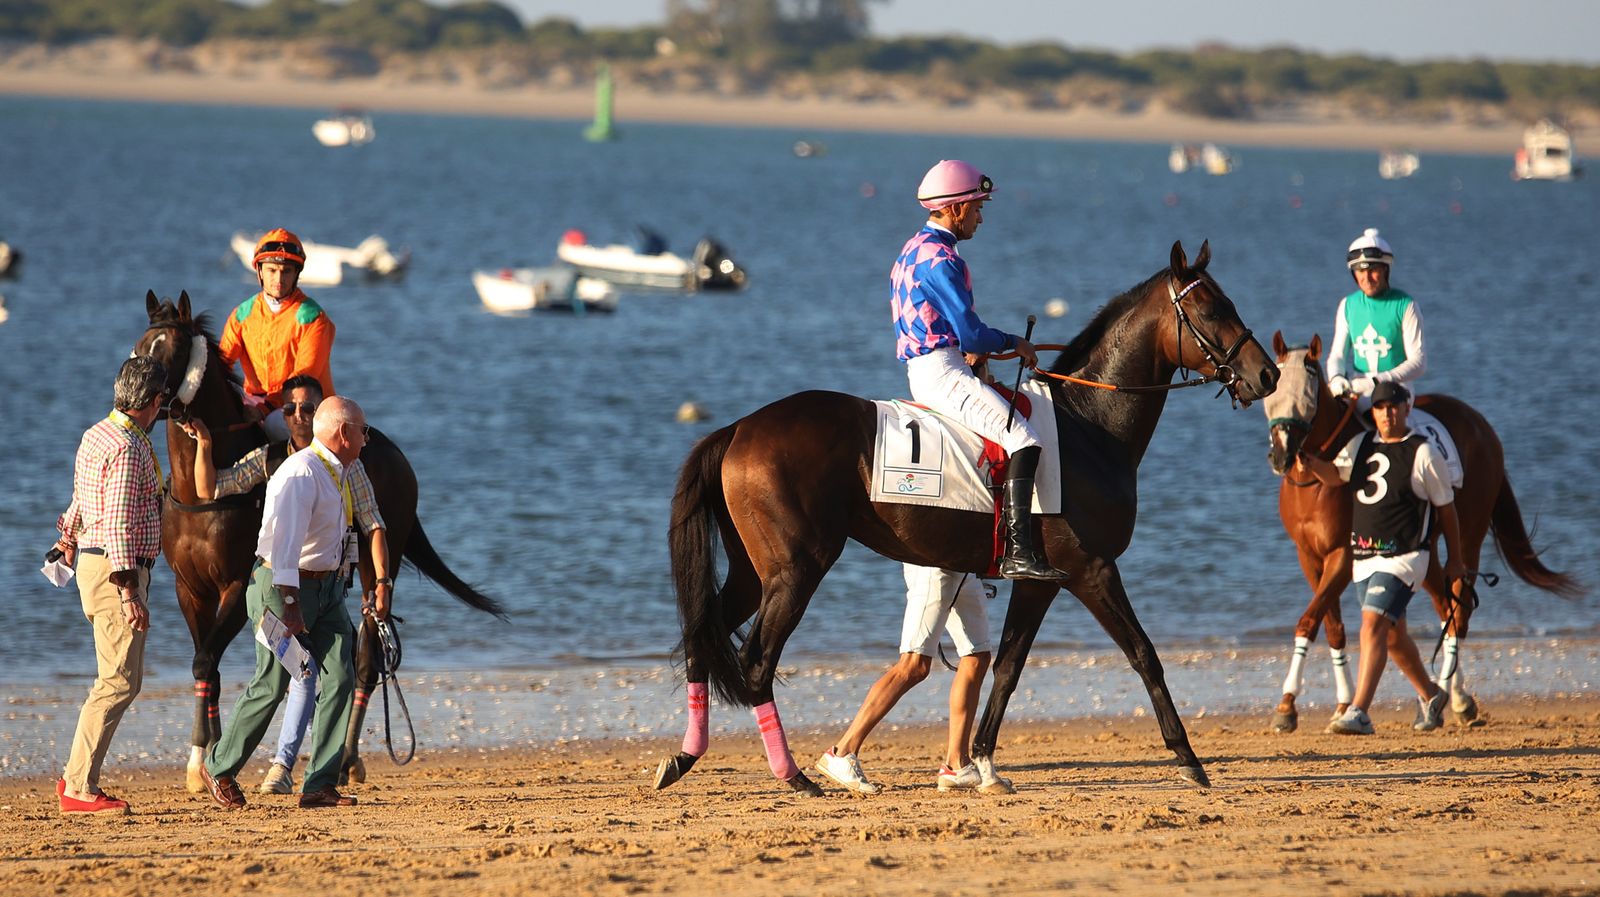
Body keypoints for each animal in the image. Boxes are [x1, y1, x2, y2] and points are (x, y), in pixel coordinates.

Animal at [133, 291, 506, 791]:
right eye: (140, 346)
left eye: (171, 351)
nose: (138, 392)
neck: (204, 495)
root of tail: (397, 456)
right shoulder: (189, 588)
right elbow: (204, 664)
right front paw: (200, 762)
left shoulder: (237, 586)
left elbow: (206, 659)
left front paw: (206, 763)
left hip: (376, 565)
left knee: (368, 656)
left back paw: (347, 759)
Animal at [654, 241, 1278, 796]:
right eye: (1212, 310)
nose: (1268, 374)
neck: (1088, 426)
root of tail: (741, 427)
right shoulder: (1093, 571)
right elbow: (1145, 655)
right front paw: (1189, 759)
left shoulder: (1039, 582)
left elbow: (1006, 667)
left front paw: (978, 763)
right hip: (794, 572)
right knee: (756, 663)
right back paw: (795, 777)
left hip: (752, 572)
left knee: (701, 638)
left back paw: (683, 759)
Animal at [1260, 332, 1580, 732]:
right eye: (1270, 395)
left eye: (1308, 395)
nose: (1281, 456)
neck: (1317, 479)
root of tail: (1479, 423)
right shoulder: (1309, 555)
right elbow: (1329, 625)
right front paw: (1334, 704)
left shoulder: (1343, 555)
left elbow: (1307, 620)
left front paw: (1288, 705)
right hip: (1425, 549)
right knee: (1444, 604)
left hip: (1468, 535)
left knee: (1459, 608)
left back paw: (1455, 698)